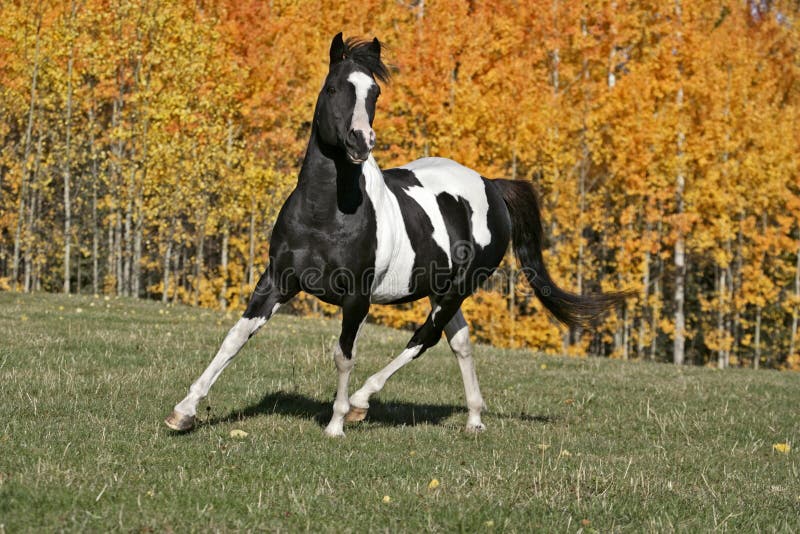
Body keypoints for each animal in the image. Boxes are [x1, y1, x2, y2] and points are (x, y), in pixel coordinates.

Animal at [166, 32, 632, 440]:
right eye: (333, 88)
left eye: (374, 93)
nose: (360, 142)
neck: (325, 213)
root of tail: (491, 185)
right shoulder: (277, 280)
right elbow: (235, 337)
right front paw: (183, 413)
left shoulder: (356, 297)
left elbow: (343, 354)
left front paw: (336, 423)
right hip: (441, 289)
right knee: (460, 342)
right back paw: (474, 420)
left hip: (458, 290)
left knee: (424, 338)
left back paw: (361, 403)